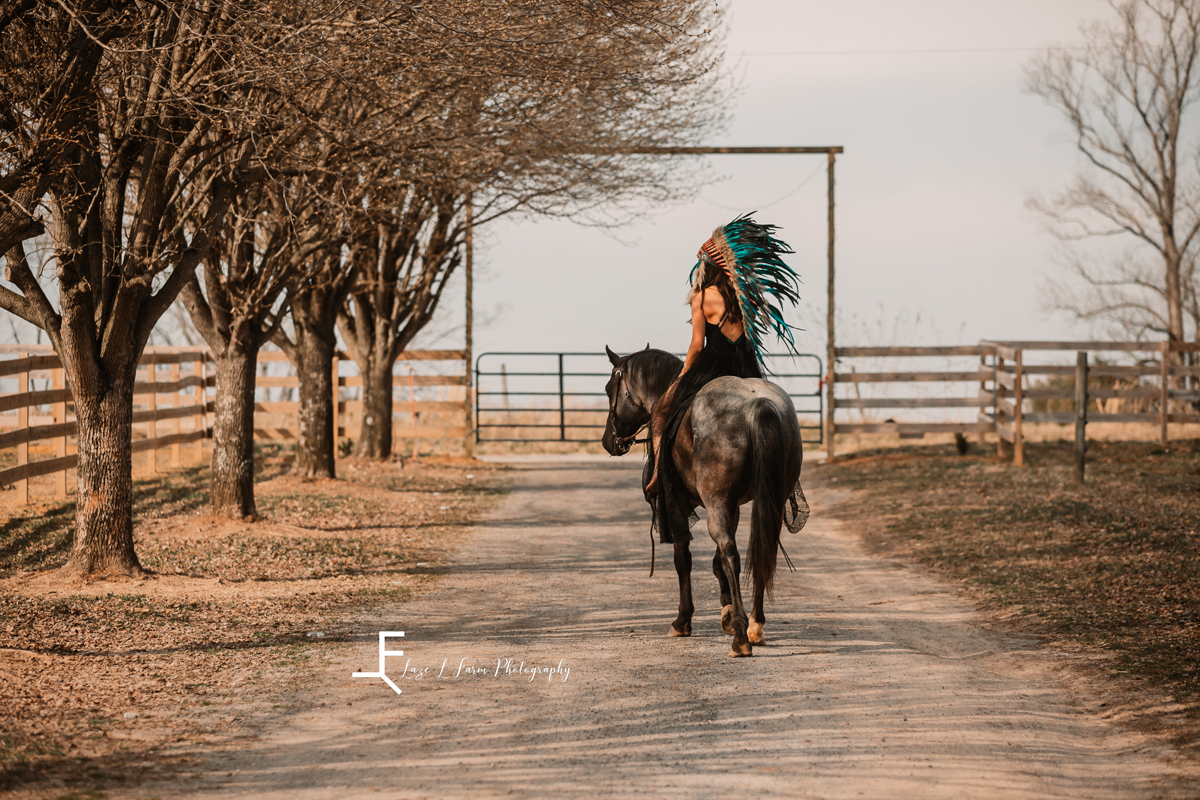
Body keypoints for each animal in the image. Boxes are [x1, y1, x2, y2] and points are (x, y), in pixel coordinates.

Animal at [600, 345, 806, 657]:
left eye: (608, 388)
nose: (607, 441)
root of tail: (758, 403)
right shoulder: (730, 506)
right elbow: (716, 561)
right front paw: (727, 611)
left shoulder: (677, 505)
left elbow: (683, 559)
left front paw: (683, 620)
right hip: (765, 499)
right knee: (762, 549)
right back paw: (755, 625)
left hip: (716, 502)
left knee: (732, 554)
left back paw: (741, 639)